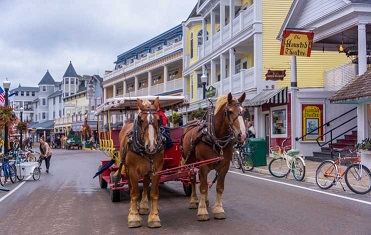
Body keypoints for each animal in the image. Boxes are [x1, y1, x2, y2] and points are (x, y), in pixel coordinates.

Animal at [118, 97, 165, 228]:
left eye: (158, 120)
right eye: (141, 120)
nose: (152, 147)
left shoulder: (157, 170)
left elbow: (153, 193)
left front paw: (154, 217)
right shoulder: (133, 171)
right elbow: (134, 193)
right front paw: (134, 216)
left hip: (147, 170)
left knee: (144, 184)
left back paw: (143, 206)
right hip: (127, 169)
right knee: (131, 187)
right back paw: (133, 208)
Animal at [181, 92, 246, 221]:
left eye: (244, 111)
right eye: (230, 111)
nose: (242, 135)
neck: (215, 138)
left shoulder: (224, 166)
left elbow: (219, 187)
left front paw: (218, 209)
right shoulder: (203, 165)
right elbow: (203, 187)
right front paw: (202, 211)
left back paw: (205, 201)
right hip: (190, 162)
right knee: (192, 179)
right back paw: (194, 201)